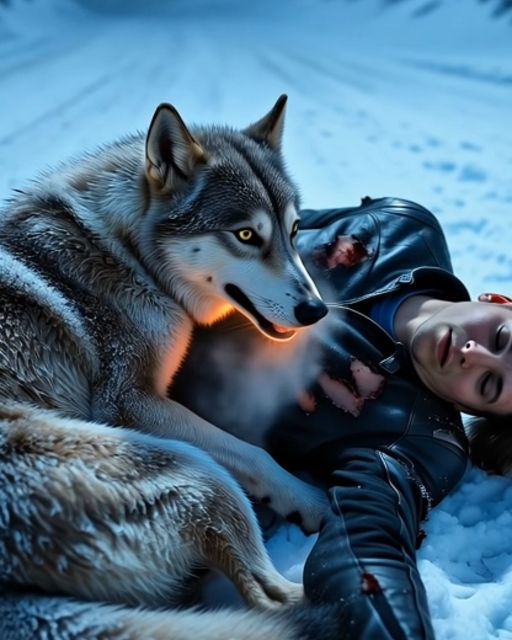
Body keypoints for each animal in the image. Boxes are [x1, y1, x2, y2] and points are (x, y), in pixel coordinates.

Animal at [0, 96, 335, 638]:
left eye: (294, 230)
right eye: (246, 235)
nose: (316, 311)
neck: (130, 254)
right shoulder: (128, 401)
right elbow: (256, 456)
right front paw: (309, 499)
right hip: (201, 475)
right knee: (276, 600)